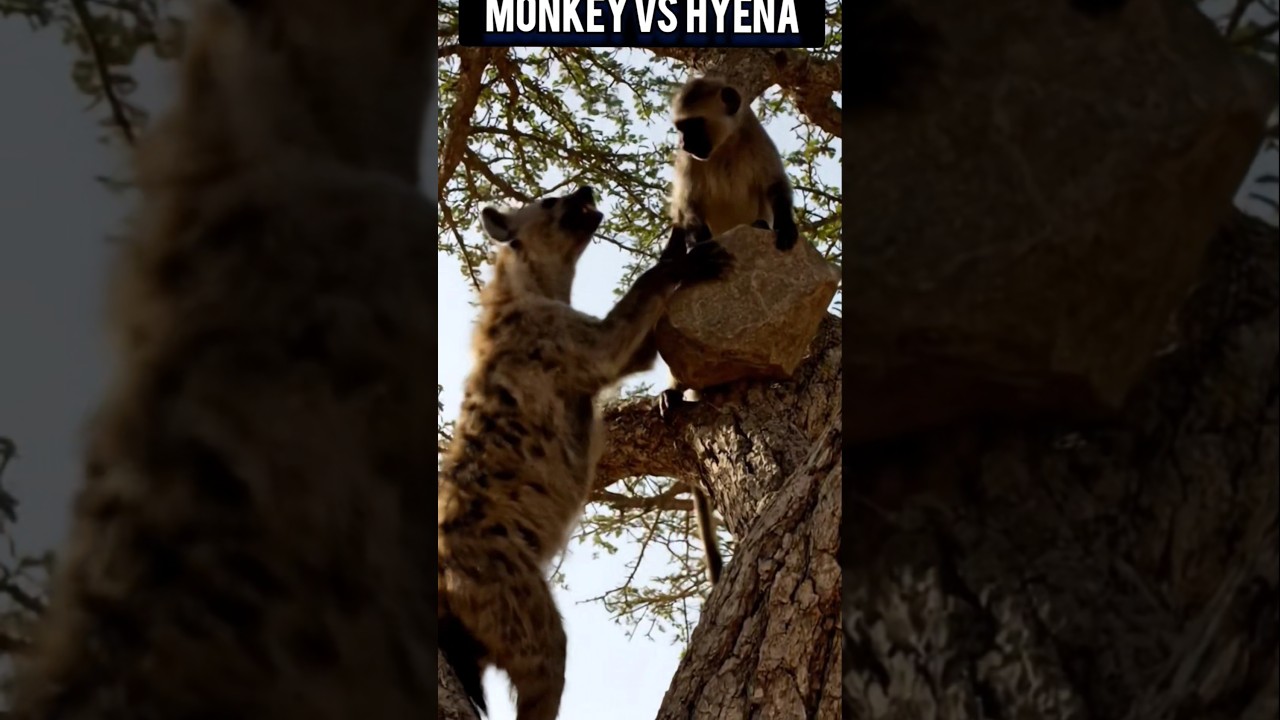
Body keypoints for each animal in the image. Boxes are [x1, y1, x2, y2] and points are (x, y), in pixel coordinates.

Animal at [437, 186, 734, 720]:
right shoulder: (577, 344)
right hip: (511, 590)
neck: (535, 290)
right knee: (545, 660)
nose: (586, 189)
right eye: (550, 200)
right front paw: (692, 257)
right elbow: (632, 307)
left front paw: (680, 228)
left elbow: (641, 347)